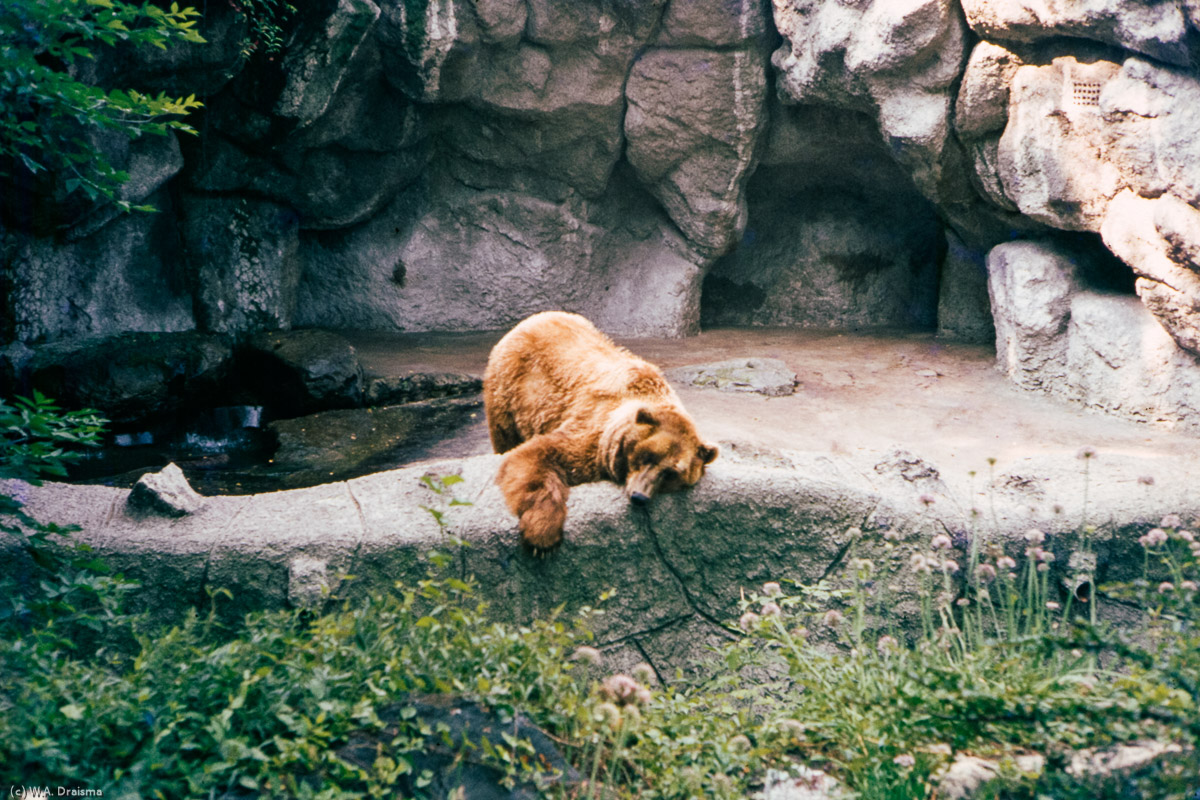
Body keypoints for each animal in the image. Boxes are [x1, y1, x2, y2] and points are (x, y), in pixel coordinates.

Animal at [482, 309, 715, 554]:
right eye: (647, 456)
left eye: (671, 473)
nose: (639, 496)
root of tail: (536, 317)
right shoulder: (593, 430)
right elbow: (535, 455)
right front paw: (542, 537)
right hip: (509, 390)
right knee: (504, 435)